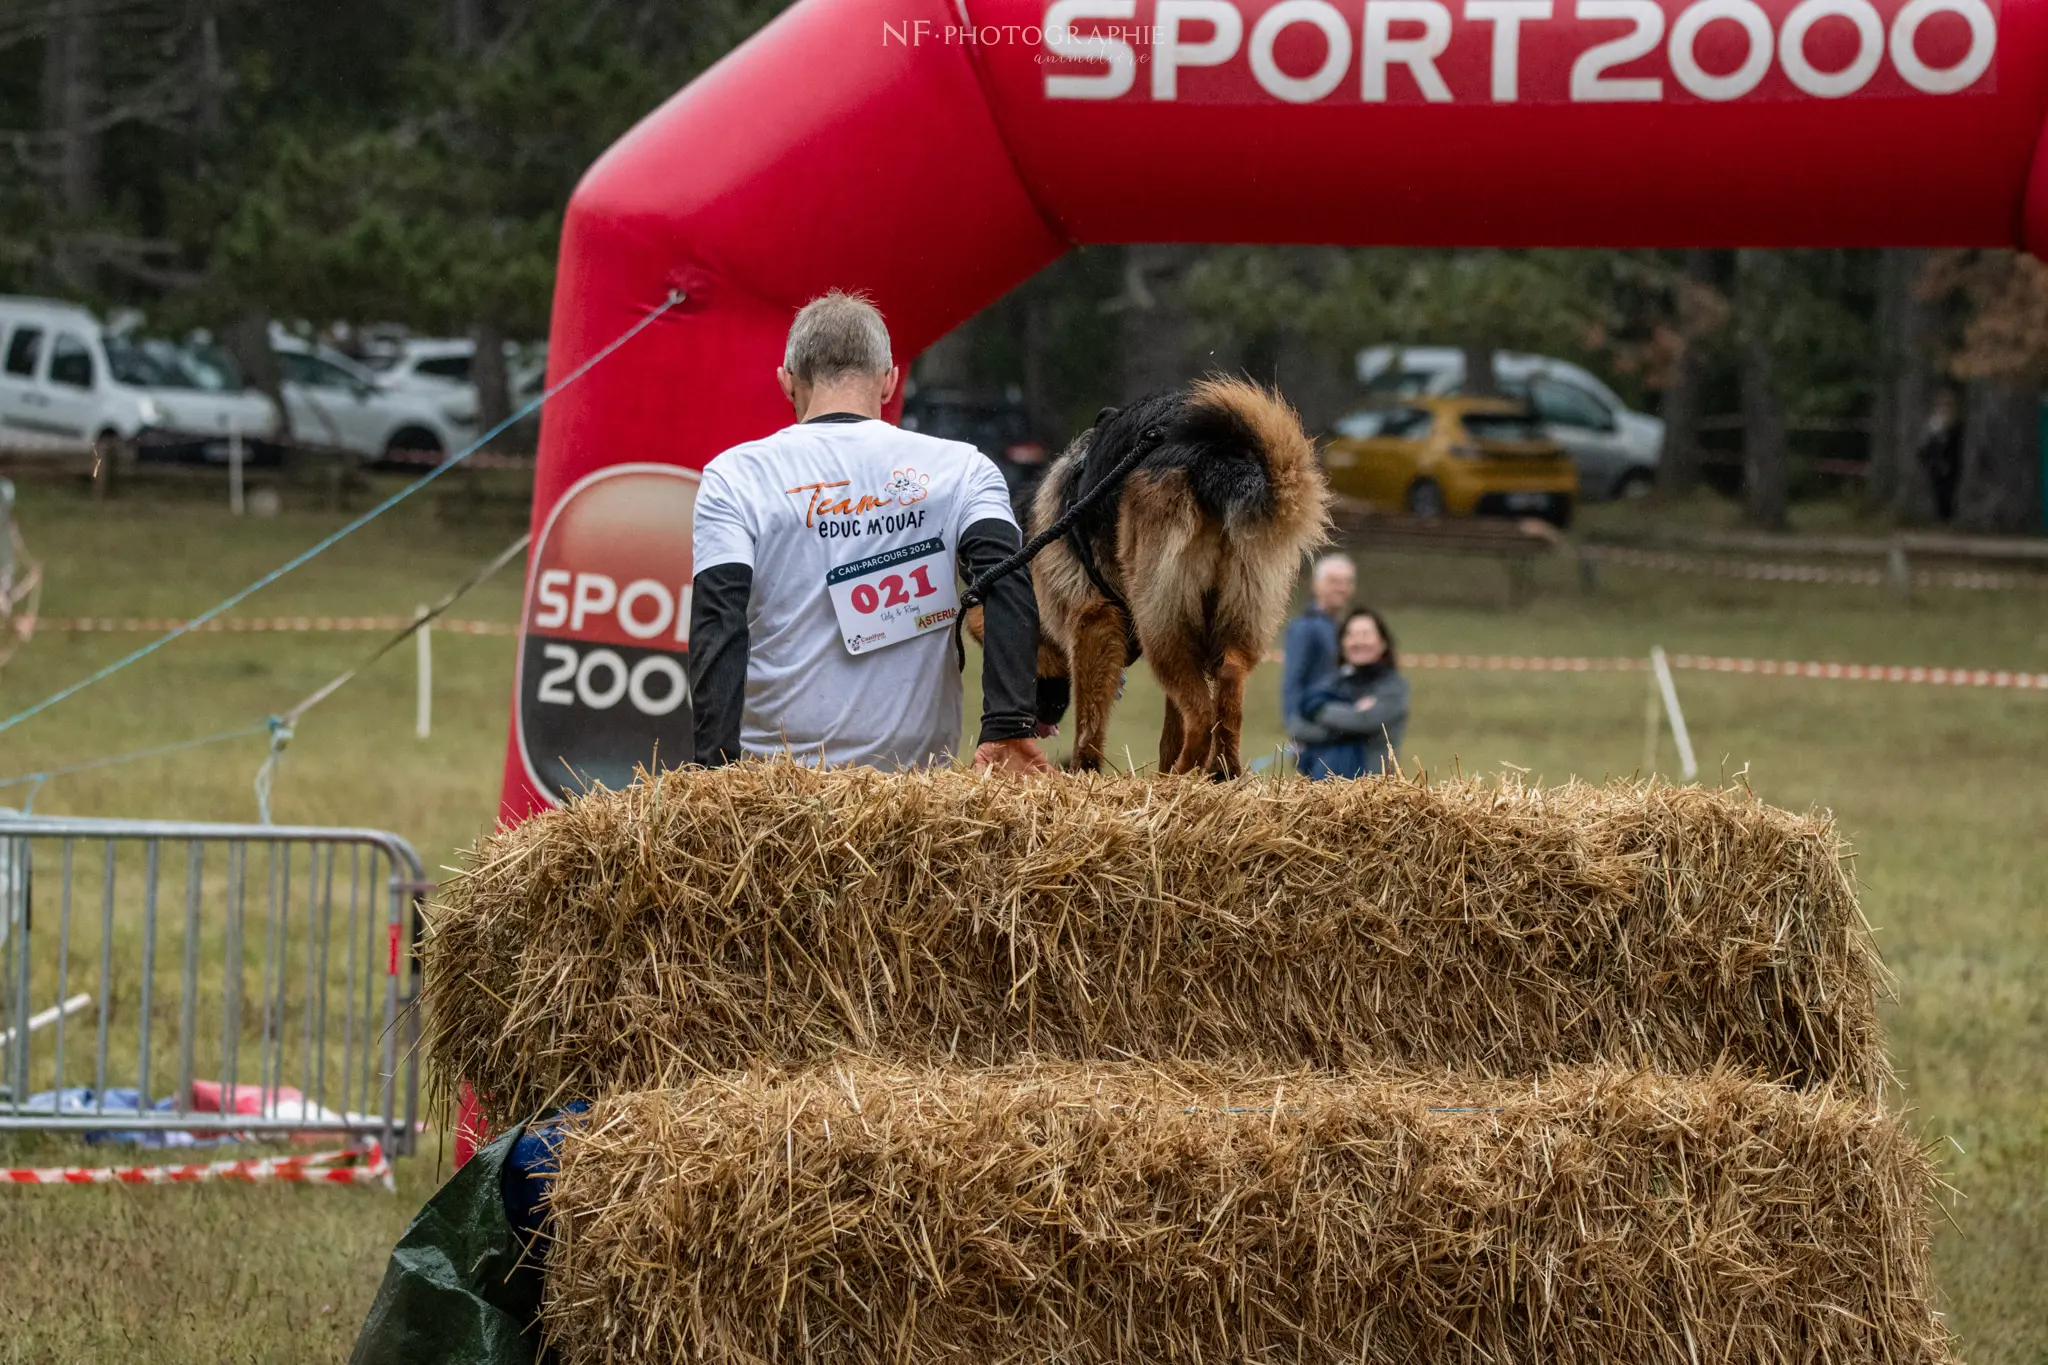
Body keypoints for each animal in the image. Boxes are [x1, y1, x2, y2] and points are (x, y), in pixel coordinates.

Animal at [1032, 378, 1335, 777]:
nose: (1042, 714)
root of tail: (1218, 462)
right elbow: (1169, 728)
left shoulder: (1093, 620)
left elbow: (1089, 724)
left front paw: (1084, 771)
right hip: (1234, 618)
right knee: (1227, 684)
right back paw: (1220, 771)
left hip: (1163, 626)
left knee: (1202, 715)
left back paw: (1183, 772)